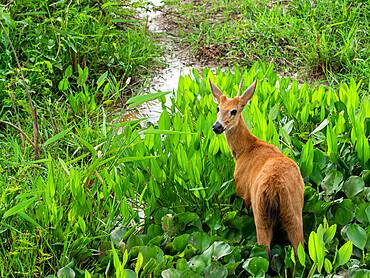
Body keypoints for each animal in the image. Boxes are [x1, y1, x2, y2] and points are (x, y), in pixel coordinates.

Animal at [210, 76, 304, 258]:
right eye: (218, 108)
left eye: (234, 111)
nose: (217, 126)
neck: (245, 150)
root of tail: (274, 186)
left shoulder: (242, 191)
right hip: (292, 211)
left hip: (259, 210)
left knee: (265, 251)